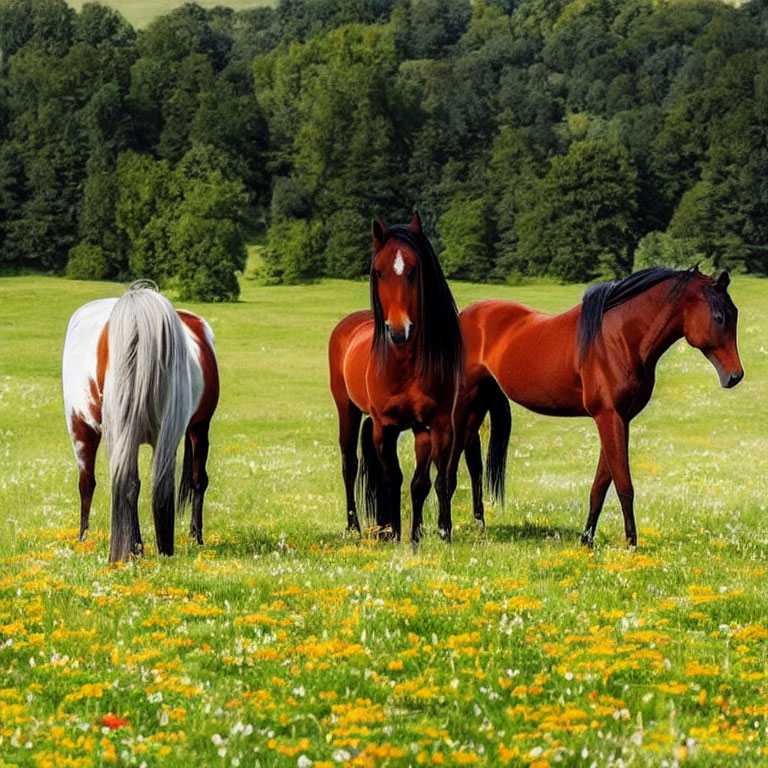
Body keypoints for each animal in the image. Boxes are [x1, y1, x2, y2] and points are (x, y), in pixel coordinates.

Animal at [328, 213, 464, 544]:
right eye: (378, 272)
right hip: (347, 410)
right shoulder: (385, 427)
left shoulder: (434, 426)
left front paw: (432, 534)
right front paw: (396, 533)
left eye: (413, 270)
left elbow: (427, 482)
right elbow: (393, 478)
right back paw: (356, 527)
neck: (404, 366)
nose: (399, 330)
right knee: (349, 465)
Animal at [456, 268, 744, 548]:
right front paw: (631, 546)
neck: (618, 340)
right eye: (719, 317)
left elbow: (601, 485)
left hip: (478, 403)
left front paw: (587, 541)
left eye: (735, 315)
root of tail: (464, 315)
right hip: (464, 402)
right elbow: (624, 485)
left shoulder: (620, 419)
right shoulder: (609, 417)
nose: (735, 376)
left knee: (473, 463)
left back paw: (479, 526)